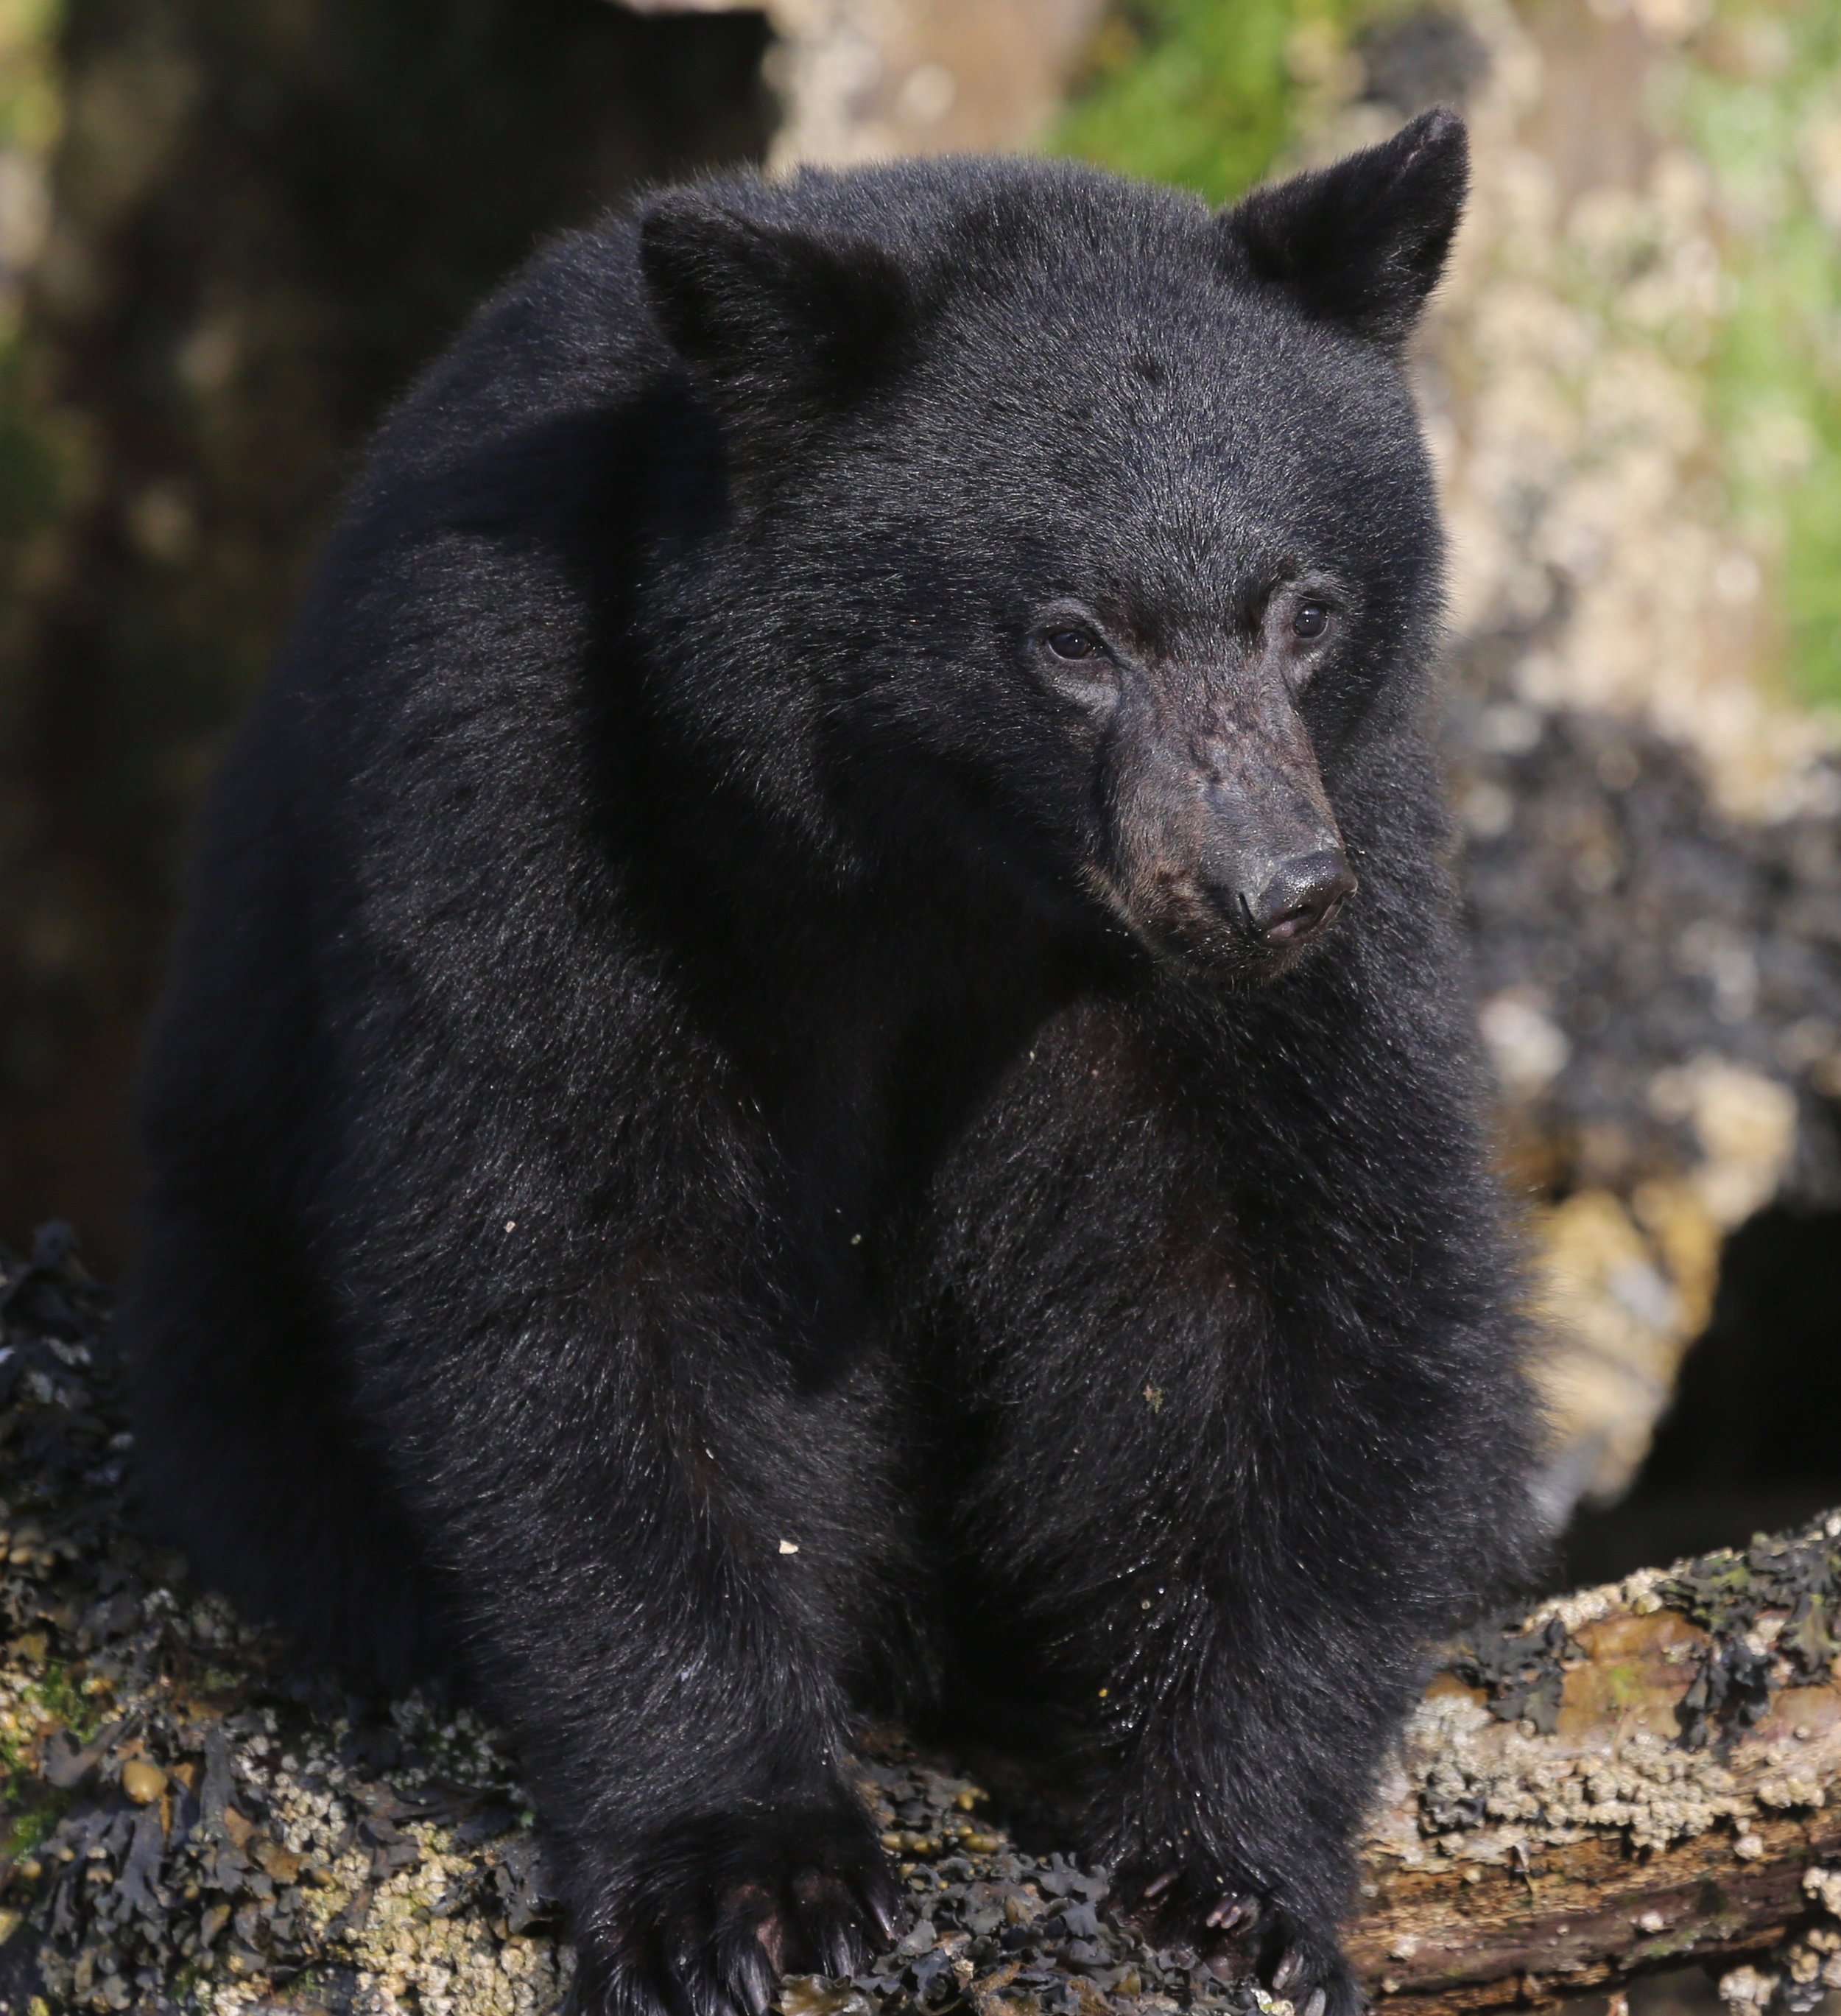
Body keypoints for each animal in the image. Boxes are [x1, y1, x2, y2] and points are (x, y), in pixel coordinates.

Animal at [118, 106, 1541, 2016]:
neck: (932, 870)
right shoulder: (537, 774)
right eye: (1069, 635)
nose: (1260, 892)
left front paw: (1225, 1875)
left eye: (1301, 609)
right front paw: (748, 1873)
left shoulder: (1342, 837)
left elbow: (1299, 1274)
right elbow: (578, 1267)